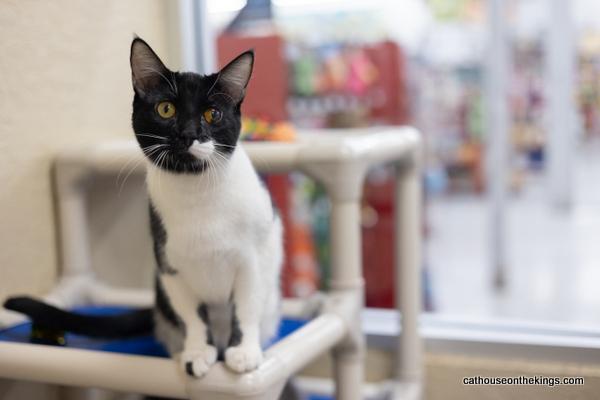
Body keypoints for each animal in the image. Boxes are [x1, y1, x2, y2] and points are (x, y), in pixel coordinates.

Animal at [4, 38, 282, 378]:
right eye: (166, 109)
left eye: (213, 114)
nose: (188, 134)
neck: (196, 190)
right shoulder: (168, 265)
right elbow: (192, 314)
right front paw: (196, 351)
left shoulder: (255, 257)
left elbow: (246, 305)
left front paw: (243, 351)